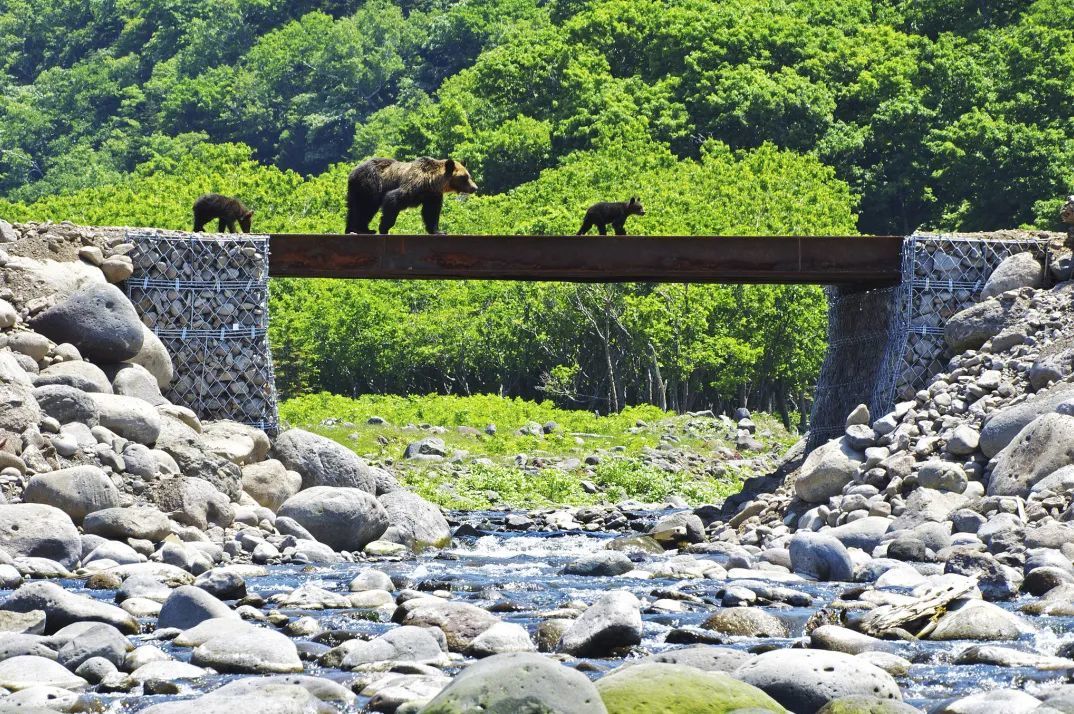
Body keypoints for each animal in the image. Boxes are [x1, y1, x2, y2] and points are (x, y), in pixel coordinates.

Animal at [345, 157, 478, 235]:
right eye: (464, 177)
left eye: (469, 176)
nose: (474, 188)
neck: (431, 181)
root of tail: (353, 172)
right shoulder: (413, 186)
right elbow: (393, 198)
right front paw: (384, 228)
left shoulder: (432, 195)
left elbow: (431, 213)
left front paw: (438, 231)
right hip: (371, 184)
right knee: (365, 207)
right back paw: (363, 229)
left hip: (357, 189)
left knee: (354, 208)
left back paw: (355, 229)